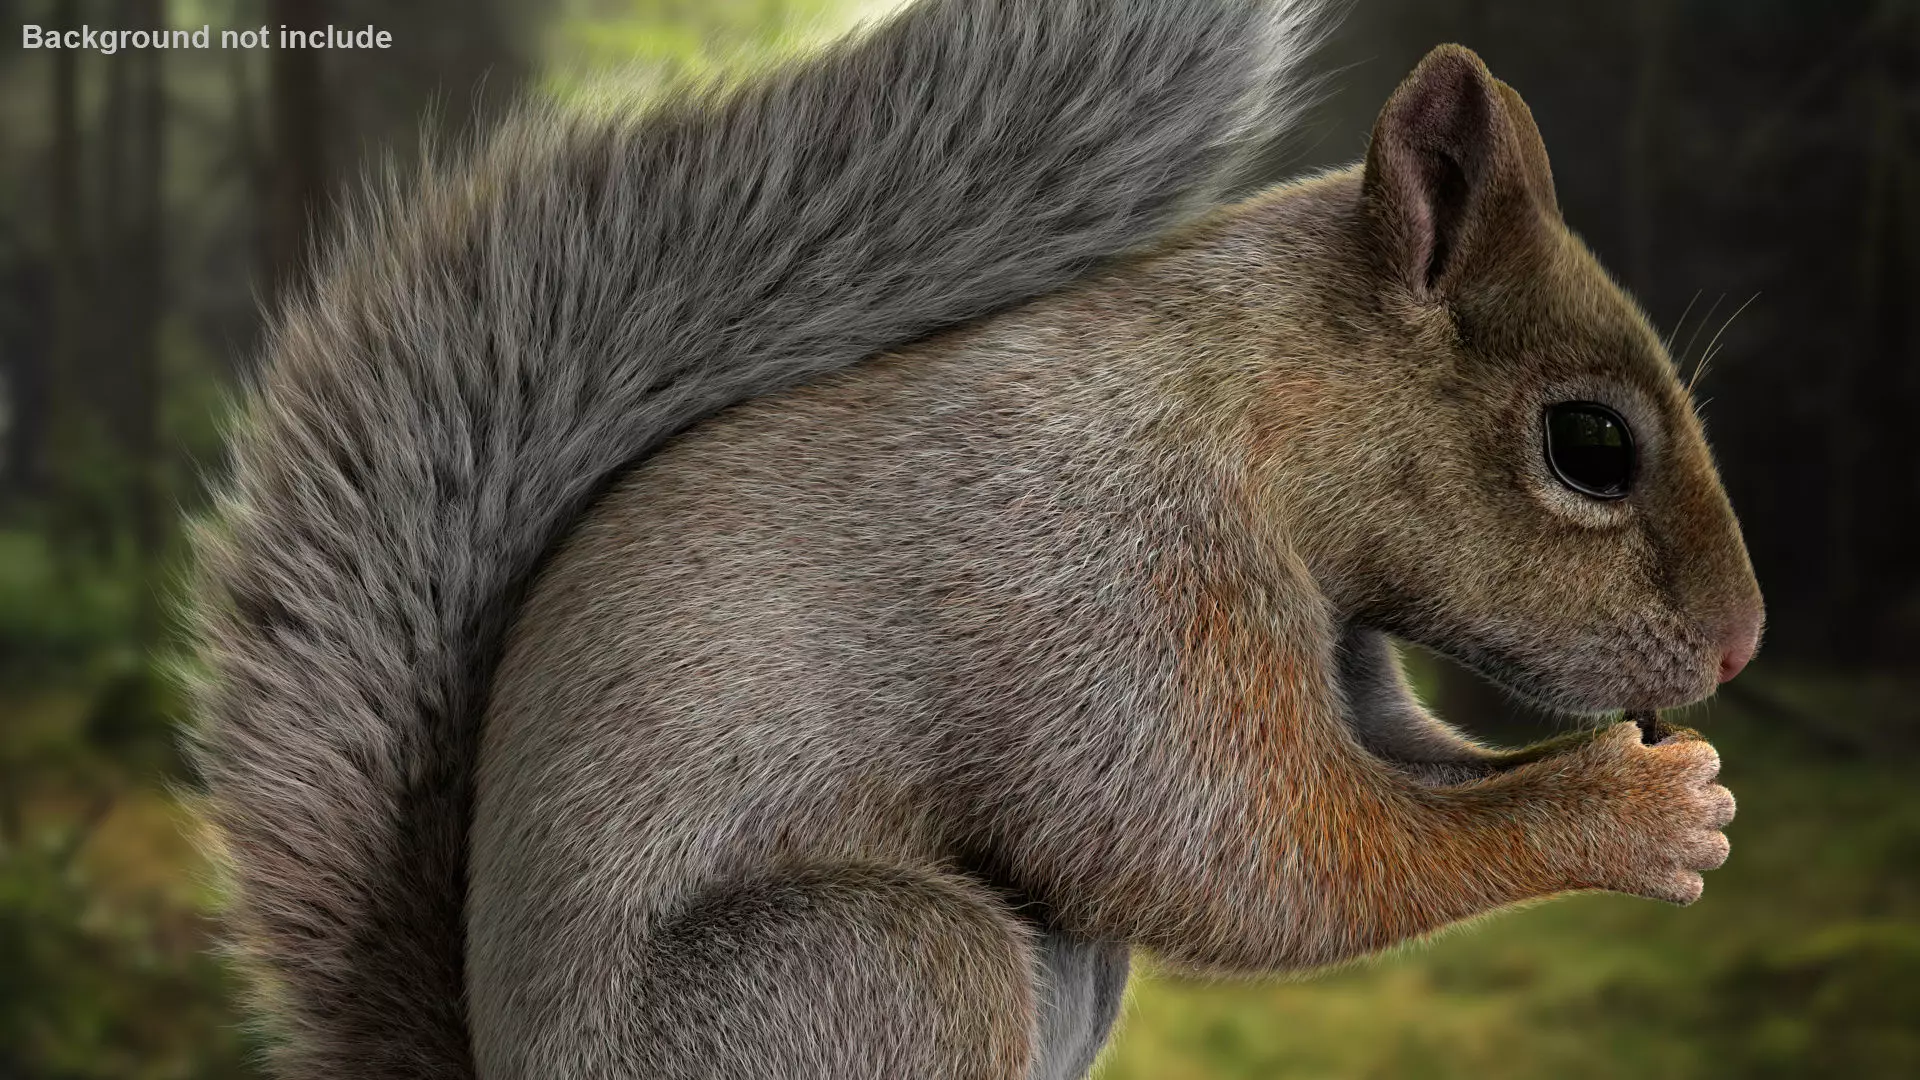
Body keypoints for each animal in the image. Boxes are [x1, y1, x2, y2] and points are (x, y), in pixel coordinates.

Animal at [187, 0, 1766, 1078]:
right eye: (1589, 445)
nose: (1743, 644)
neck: (1247, 406)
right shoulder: (1109, 585)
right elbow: (1261, 861)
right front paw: (1635, 814)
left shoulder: (1335, 642)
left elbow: (1397, 771)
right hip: (878, 972)